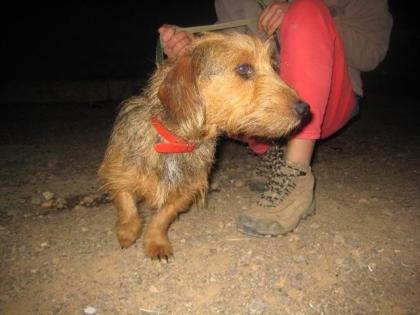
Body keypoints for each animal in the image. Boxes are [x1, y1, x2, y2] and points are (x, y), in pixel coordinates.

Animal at [99, 31, 308, 260]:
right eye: (244, 69)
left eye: (274, 67)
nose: (305, 109)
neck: (175, 143)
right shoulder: (118, 172)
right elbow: (126, 204)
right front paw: (128, 230)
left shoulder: (185, 192)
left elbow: (162, 218)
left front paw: (155, 242)